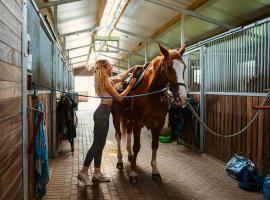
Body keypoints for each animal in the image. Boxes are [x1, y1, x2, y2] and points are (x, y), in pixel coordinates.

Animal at [110, 43, 187, 183]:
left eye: (184, 67)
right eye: (169, 67)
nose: (182, 98)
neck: (151, 93)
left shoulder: (159, 123)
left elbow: (155, 145)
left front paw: (155, 171)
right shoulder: (138, 123)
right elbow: (137, 146)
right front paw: (133, 173)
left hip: (129, 120)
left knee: (128, 133)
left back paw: (130, 156)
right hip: (116, 117)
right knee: (118, 136)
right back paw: (120, 161)